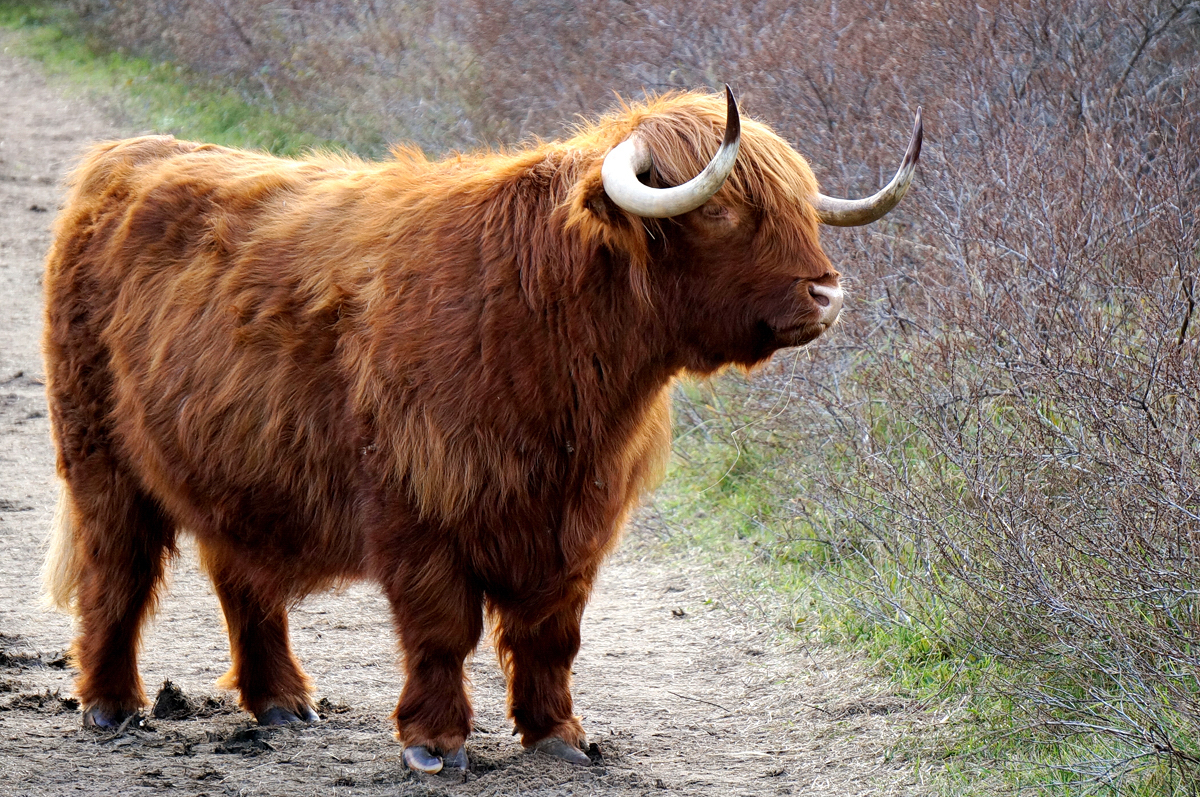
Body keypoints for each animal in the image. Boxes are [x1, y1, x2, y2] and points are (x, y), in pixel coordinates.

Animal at [39, 87, 916, 772]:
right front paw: (434, 743)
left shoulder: (575, 521)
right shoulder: (417, 501)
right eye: (727, 210)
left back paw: (283, 700)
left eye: (802, 206)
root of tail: (128, 155)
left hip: (234, 464)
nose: (827, 293)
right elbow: (441, 627)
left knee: (240, 577)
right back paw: (112, 705)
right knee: (116, 570)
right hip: (99, 455)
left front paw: (560, 734)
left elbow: (552, 632)